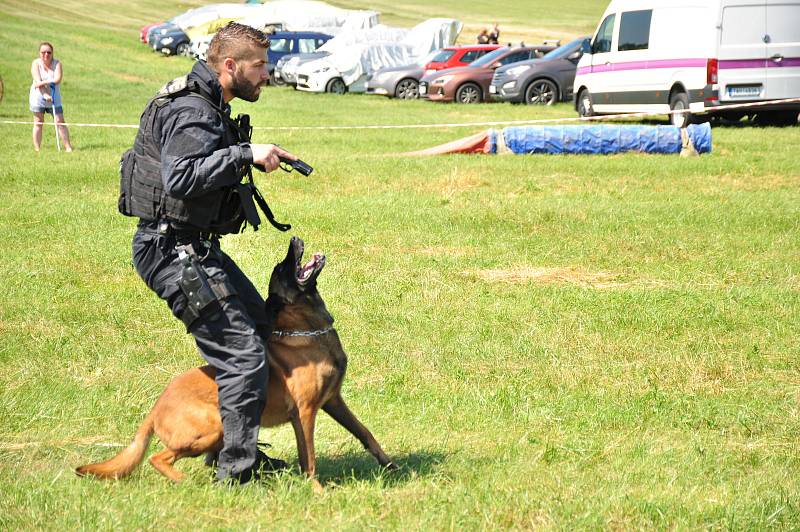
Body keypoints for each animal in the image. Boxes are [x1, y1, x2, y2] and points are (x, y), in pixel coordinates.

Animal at [76, 238, 396, 490]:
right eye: (281, 269)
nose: (294, 238)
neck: (305, 330)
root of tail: (156, 407)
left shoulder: (333, 401)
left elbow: (365, 432)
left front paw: (389, 464)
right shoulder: (305, 413)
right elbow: (309, 458)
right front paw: (316, 490)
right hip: (214, 425)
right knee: (159, 457)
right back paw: (188, 483)